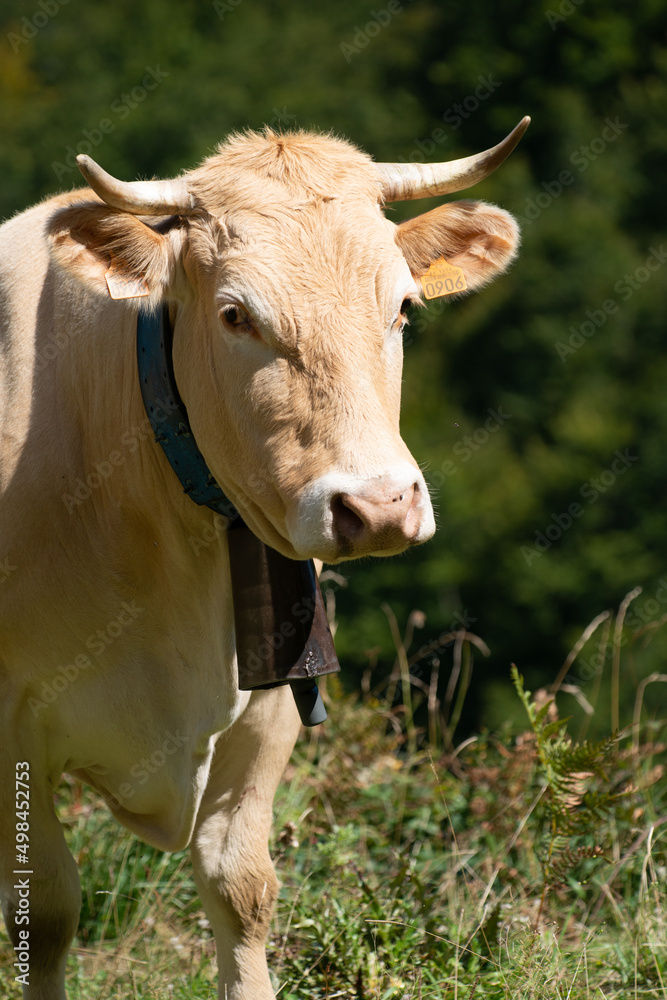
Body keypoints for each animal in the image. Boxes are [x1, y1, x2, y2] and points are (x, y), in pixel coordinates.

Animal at [1, 119, 528, 1000]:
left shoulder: (272, 701)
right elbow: (45, 911)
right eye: (235, 315)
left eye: (403, 306)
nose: (377, 505)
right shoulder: (13, 724)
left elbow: (240, 887)